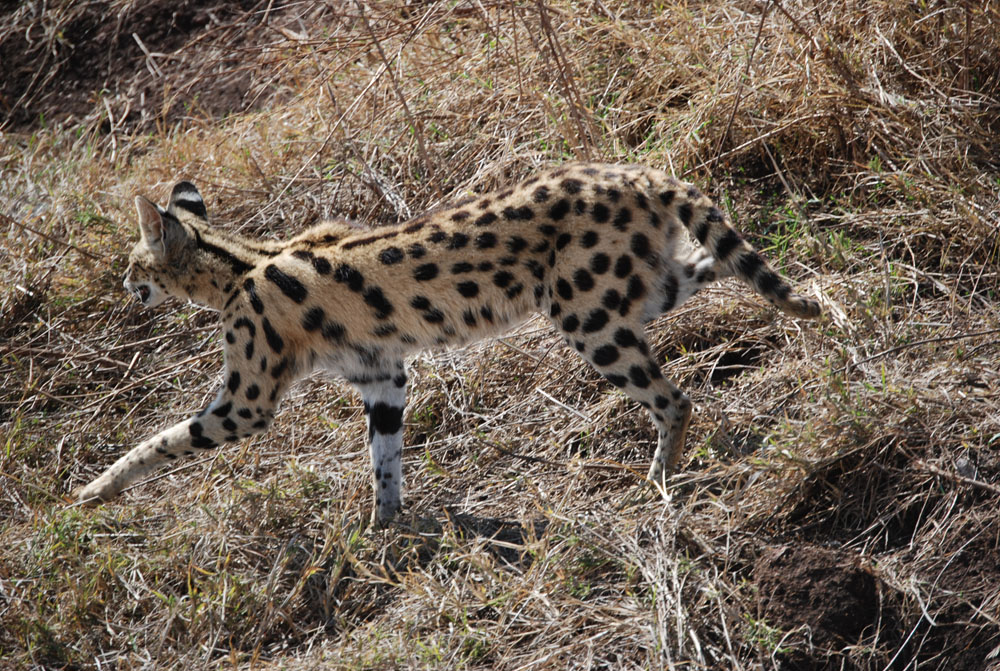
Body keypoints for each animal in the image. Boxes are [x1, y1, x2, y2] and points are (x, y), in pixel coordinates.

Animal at [75, 162, 821, 523]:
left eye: (136, 262)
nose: (123, 282)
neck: (236, 266)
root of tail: (635, 173)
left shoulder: (247, 402)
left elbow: (163, 440)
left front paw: (94, 491)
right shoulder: (383, 376)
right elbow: (384, 457)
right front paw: (386, 526)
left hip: (585, 317)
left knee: (676, 399)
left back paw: (660, 478)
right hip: (637, 288)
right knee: (724, 261)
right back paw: (826, 299)